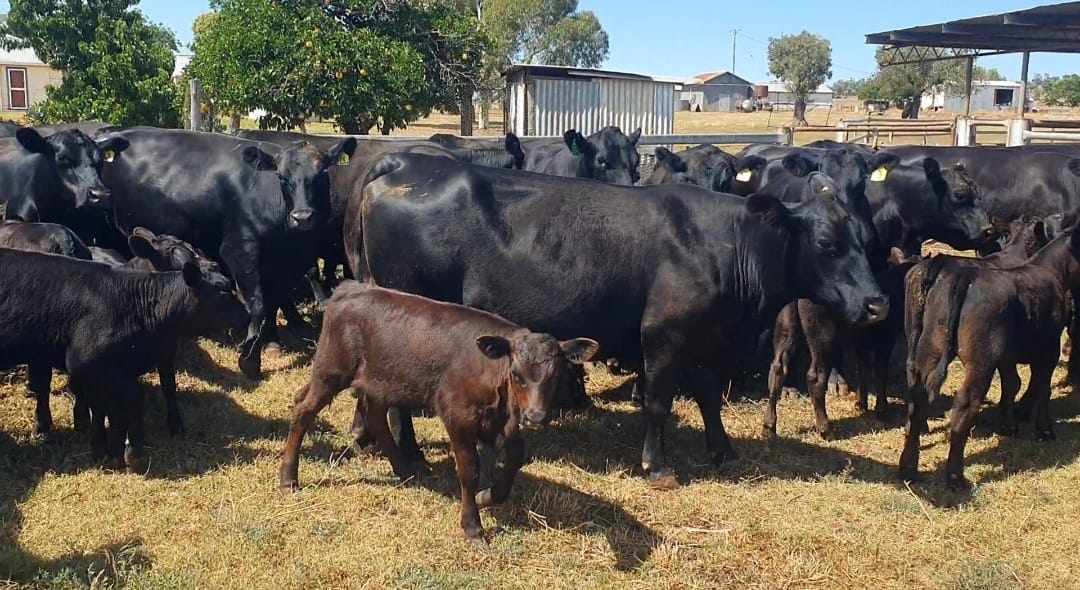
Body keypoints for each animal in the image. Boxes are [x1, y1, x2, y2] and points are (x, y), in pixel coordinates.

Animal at [0, 245, 236, 466]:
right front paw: (129, 450)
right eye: (223, 292)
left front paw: (106, 447)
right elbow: (131, 396)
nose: (243, 313)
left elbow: (111, 405)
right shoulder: (86, 361)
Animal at [98, 126, 356, 378]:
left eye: (322, 174)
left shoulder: (279, 263)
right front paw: (250, 358)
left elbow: (274, 300)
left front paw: (272, 342)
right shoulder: (239, 251)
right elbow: (257, 303)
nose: (302, 217)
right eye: (282, 178)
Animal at [276, 280, 600, 542]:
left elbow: (514, 461)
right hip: (331, 370)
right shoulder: (459, 417)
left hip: (380, 381)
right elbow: (469, 470)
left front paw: (486, 496)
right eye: (517, 374)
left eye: (555, 375)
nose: (535, 417)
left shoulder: (504, 423)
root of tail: (349, 287)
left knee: (374, 417)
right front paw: (473, 527)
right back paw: (289, 479)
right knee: (304, 411)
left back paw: (406, 471)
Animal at [345, 152, 885, 486]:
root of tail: (407, 162)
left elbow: (708, 394)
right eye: (826, 243)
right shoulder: (663, 335)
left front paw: (723, 449)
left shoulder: (697, 337)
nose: (876, 303)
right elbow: (659, 403)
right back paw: (411, 456)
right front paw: (657, 466)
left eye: (863, 237)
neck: (722, 243)